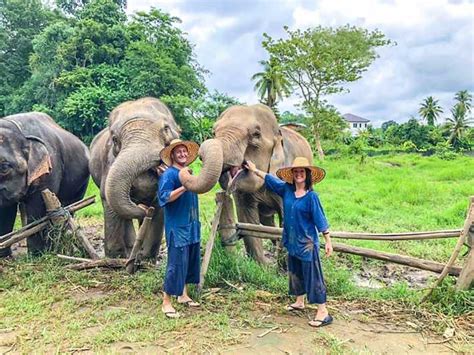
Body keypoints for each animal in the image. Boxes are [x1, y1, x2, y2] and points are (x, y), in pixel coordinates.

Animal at [0, 112, 90, 258]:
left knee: (69, 206)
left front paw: (37, 255)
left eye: (4, 167)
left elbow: (37, 207)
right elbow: (5, 210)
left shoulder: (50, 169)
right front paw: (4, 255)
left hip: (82, 182)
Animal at [89, 96, 224, 258]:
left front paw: (146, 258)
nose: (142, 208)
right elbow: (108, 200)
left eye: (166, 128)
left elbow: (159, 206)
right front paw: (116, 257)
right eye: (115, 139)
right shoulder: (109, 164)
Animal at [180, 103, 312, 264]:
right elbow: (247, 220)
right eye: (214, 131)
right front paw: (262, 265)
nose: (188, 170)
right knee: (267, 221)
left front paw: (285, 266)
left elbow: (289, 219)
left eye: (256, 134)